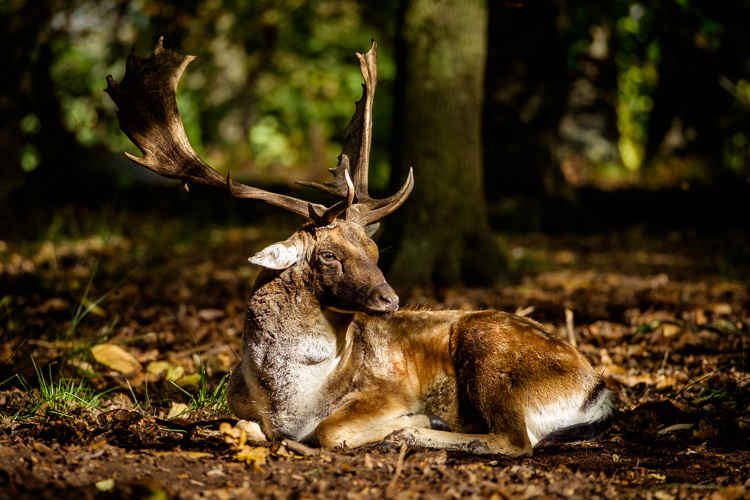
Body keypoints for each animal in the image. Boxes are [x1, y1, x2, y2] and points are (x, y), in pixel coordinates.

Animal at [106, 37, 612, 456]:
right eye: (329, 255)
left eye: (374, 252)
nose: (391, 300)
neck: (288, 400)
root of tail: (597, 389)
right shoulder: (240, 406)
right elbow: (241, 427)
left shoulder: (385, 390)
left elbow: (331, 431)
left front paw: (406, 422)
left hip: (493, 355)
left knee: (516, 440)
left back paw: (411, 433)